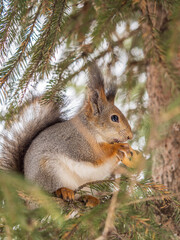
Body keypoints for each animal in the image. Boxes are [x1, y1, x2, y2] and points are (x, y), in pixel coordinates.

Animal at [0, 62, 132, 207]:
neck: (92, 129)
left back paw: (91, 199)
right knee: (51, 192)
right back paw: (63, 191)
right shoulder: (76, 141)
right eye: (114, 118)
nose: (130, 136)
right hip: (50, 171)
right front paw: (118, 147)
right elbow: (94, 154)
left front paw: (122, 153)